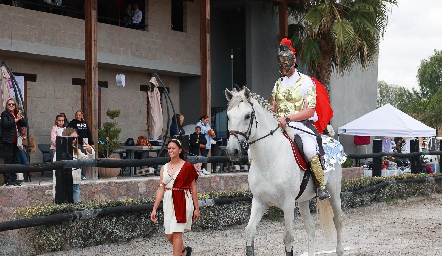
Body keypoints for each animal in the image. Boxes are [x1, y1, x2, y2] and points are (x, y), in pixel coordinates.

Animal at [226, 87, 344, 255]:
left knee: (338, 221)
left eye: (247, 116)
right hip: (303, 200)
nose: (232, 151)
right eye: (228, 116)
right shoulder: (259, 201)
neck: (268, 160)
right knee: (311, 228)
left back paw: (339, 250)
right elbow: (249, 232)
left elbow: (288, 239)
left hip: (334, 191)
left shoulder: (288, 204)